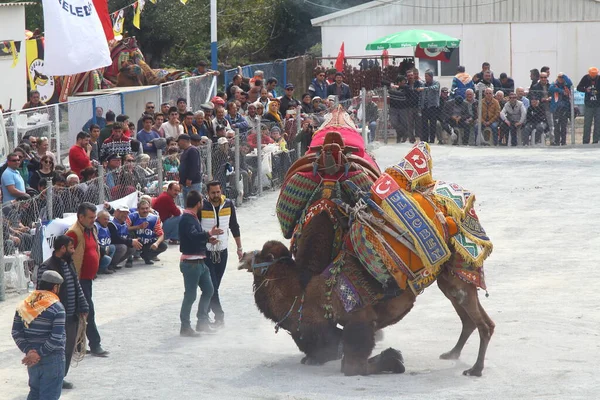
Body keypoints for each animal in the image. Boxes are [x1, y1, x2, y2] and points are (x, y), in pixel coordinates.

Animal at [239, 241, 496, 378]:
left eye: (261, 256)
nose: (242, 257)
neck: (304, 297)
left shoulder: (359, 320)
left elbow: (353, 366)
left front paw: (394, 360)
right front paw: (394, 356)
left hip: (457, 279)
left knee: (483, 324)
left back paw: (475, 369)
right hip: (450, 279)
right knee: (474, 320)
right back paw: (453, 354)